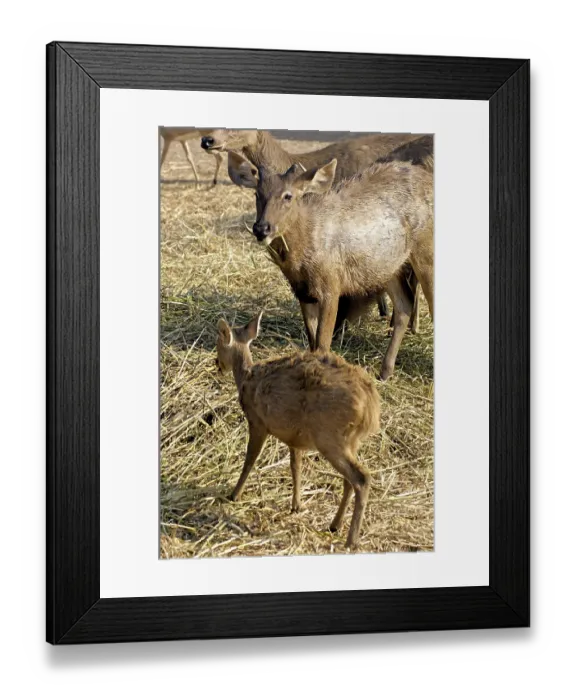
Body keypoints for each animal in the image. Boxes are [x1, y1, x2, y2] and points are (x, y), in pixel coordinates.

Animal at [216, 312, 380, 549]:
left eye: (218, 342)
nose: (217, 364)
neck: (246, 378)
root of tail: (370, 408)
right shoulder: (295, 437)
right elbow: (296, 467)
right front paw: (296, 505)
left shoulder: (257, 421)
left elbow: (250, 460)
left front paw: (234, 494)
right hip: (349, 441)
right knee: (349, 480)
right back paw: (334, 525)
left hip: (330, 437)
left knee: (361, 478)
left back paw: (351, 541)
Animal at [251, 159, 434, 380]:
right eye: (257, 193)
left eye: (288, 195)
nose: (261, 228)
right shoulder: (303, 292)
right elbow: (312, 341)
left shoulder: (331, 285)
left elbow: (322, 344)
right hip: (389, 267)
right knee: (404, 305)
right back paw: (385, 372)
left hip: (425, 252)